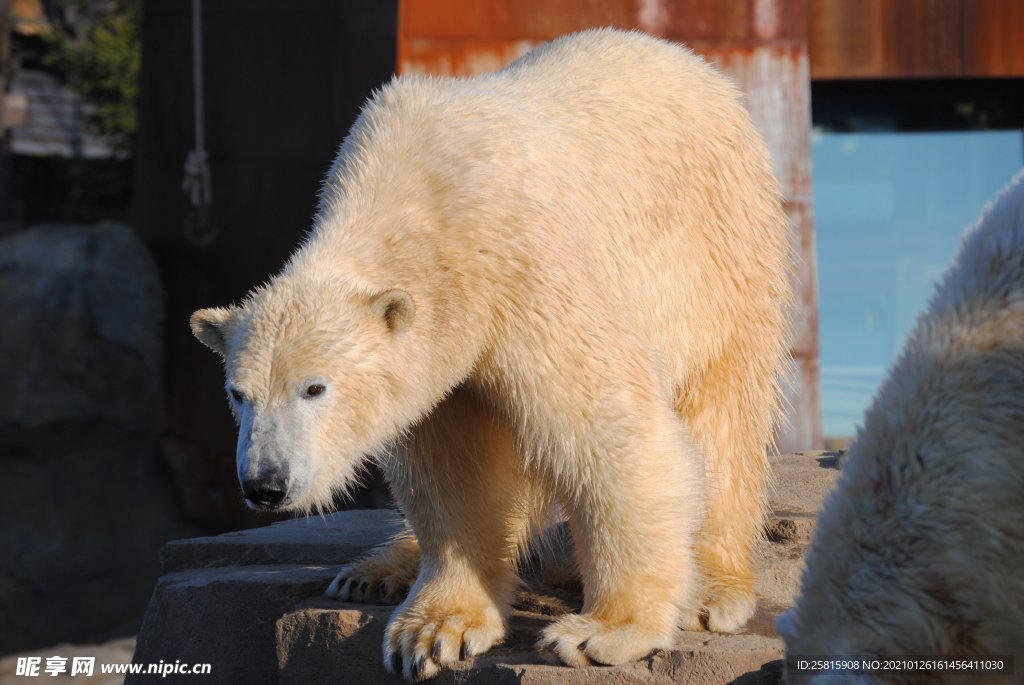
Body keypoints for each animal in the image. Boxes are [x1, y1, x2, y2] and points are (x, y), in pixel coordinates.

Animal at [188, 28, 790, 679]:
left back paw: (710, 589)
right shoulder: (446, 343)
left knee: (720, 416)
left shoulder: (524, 271)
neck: (417, 202)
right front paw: (434, 631)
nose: (265, 484)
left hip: (720, 256)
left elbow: (610, 429)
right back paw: (375, 569)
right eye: (237, 394)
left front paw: (603, 632)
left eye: (315, 387)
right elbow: (455, 465)